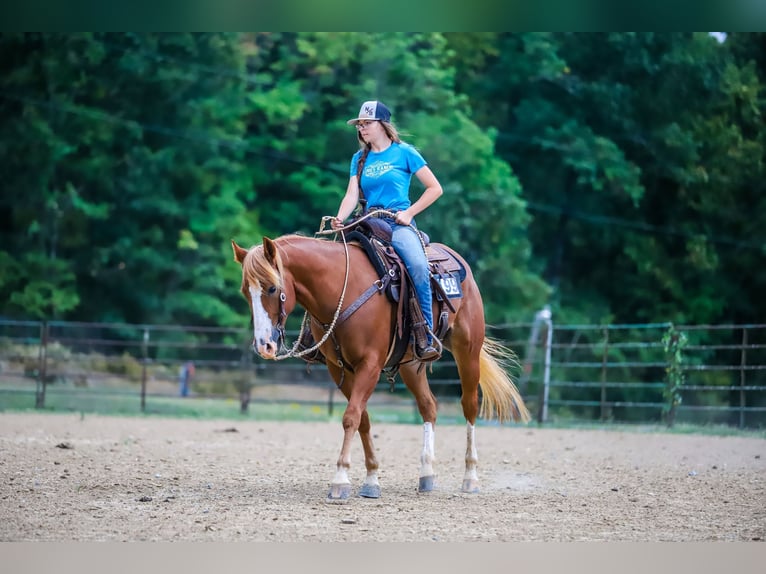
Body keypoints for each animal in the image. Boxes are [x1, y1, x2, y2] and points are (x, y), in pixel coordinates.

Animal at [231, 228, 532, 500]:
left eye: (272, 288)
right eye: (246, 291)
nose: (264, 345)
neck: (342, 289)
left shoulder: (370, 365)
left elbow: (351, 416)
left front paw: (340, 480)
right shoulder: (338, 368)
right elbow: (362, 419)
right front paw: (371, 479)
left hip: (467, 350)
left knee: (469, 405)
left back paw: (470, 477)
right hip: (412, 365)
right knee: (428, 406)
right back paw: (427, 474)